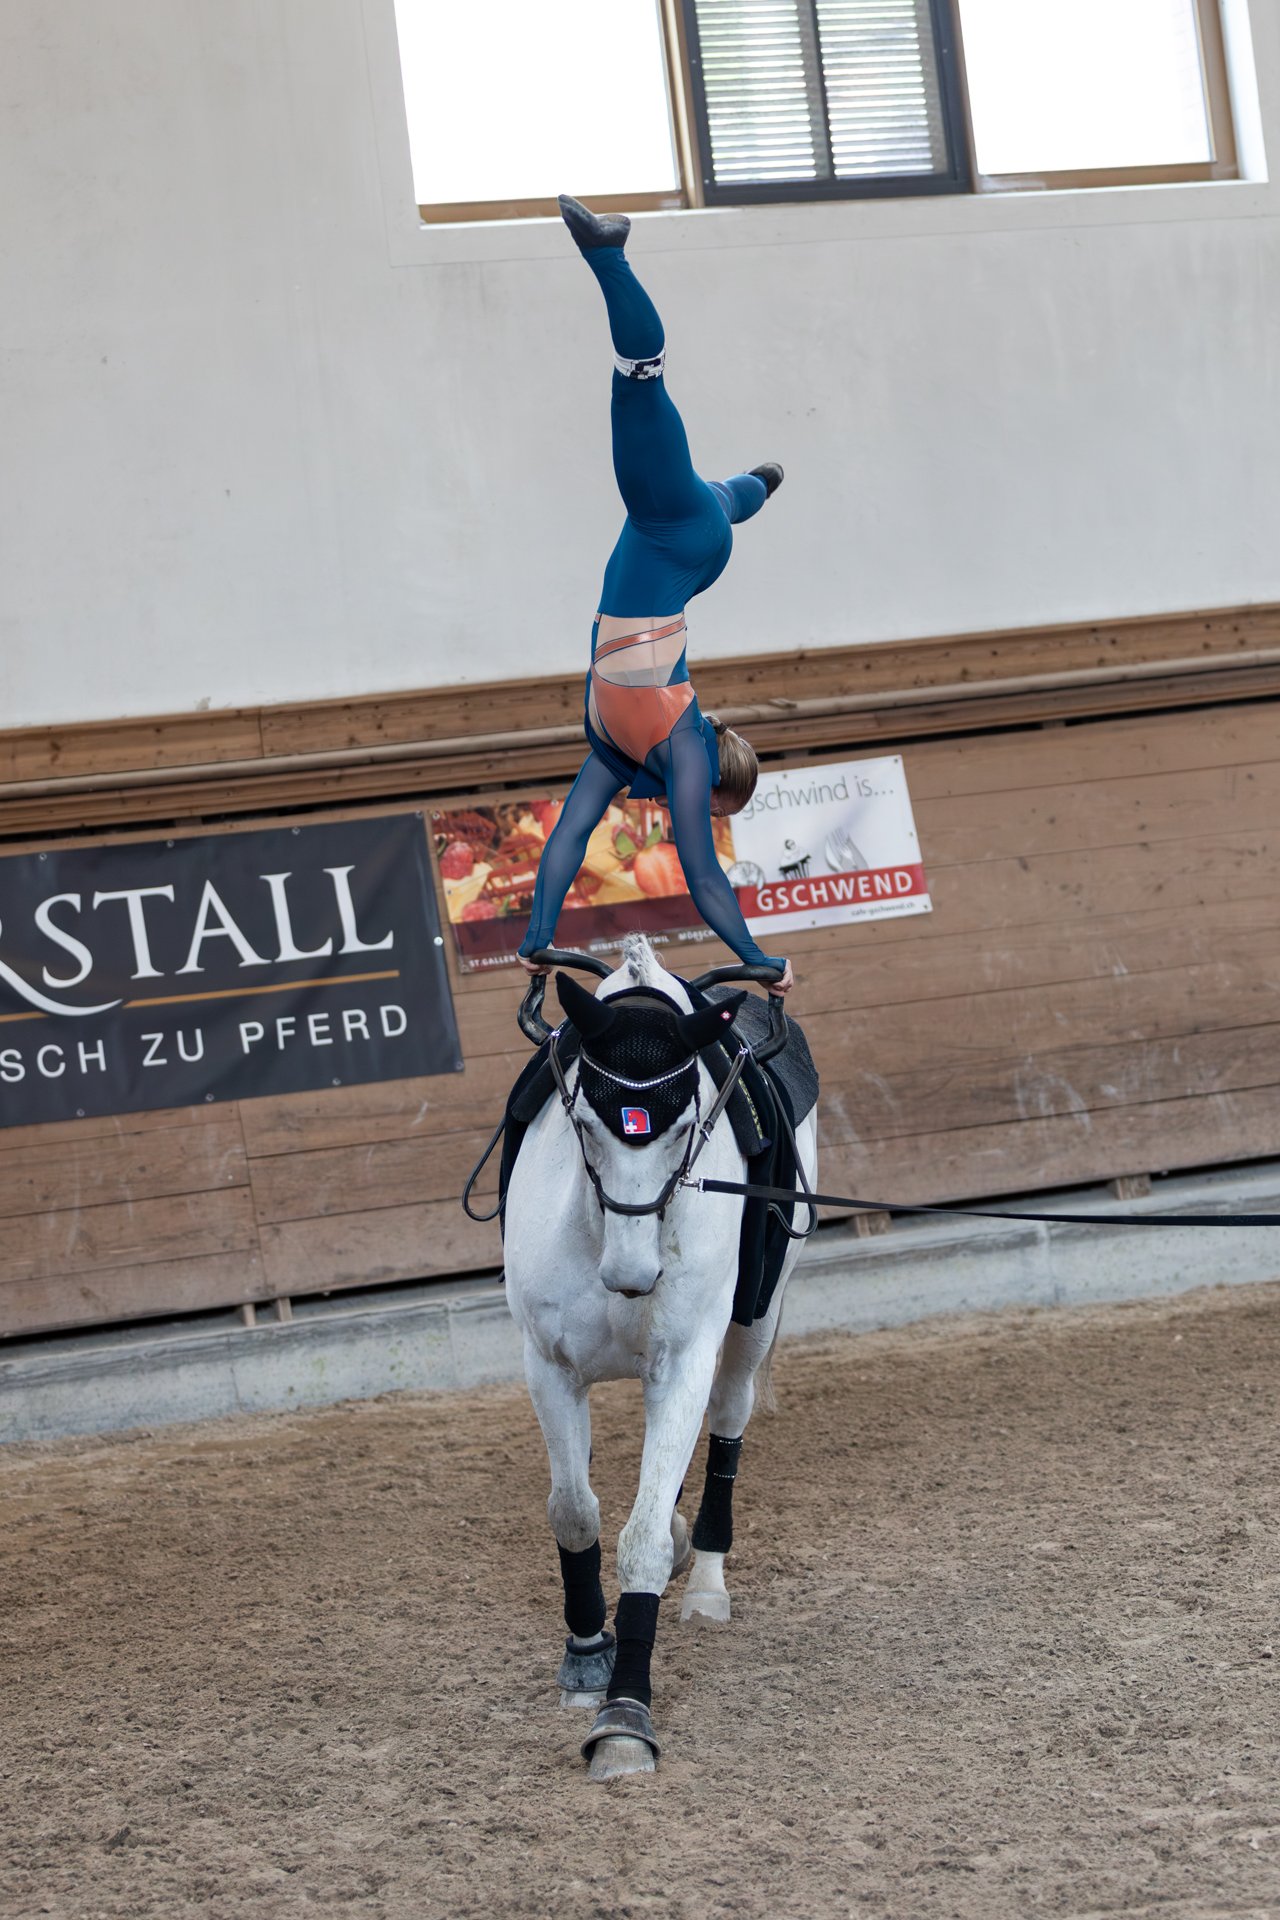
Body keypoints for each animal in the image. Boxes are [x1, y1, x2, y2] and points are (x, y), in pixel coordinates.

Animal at [503, 933, 819, 1781]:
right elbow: (574, 1510)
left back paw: (704, 1576)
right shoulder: (549, 1365)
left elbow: (640, 1539)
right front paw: (587, 1654)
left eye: (688, 1128)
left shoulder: (682, 1362)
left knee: (726, 1429)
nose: (633, 1275)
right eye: (584, 1119)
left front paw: (624, 1717)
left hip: (750, 1327)